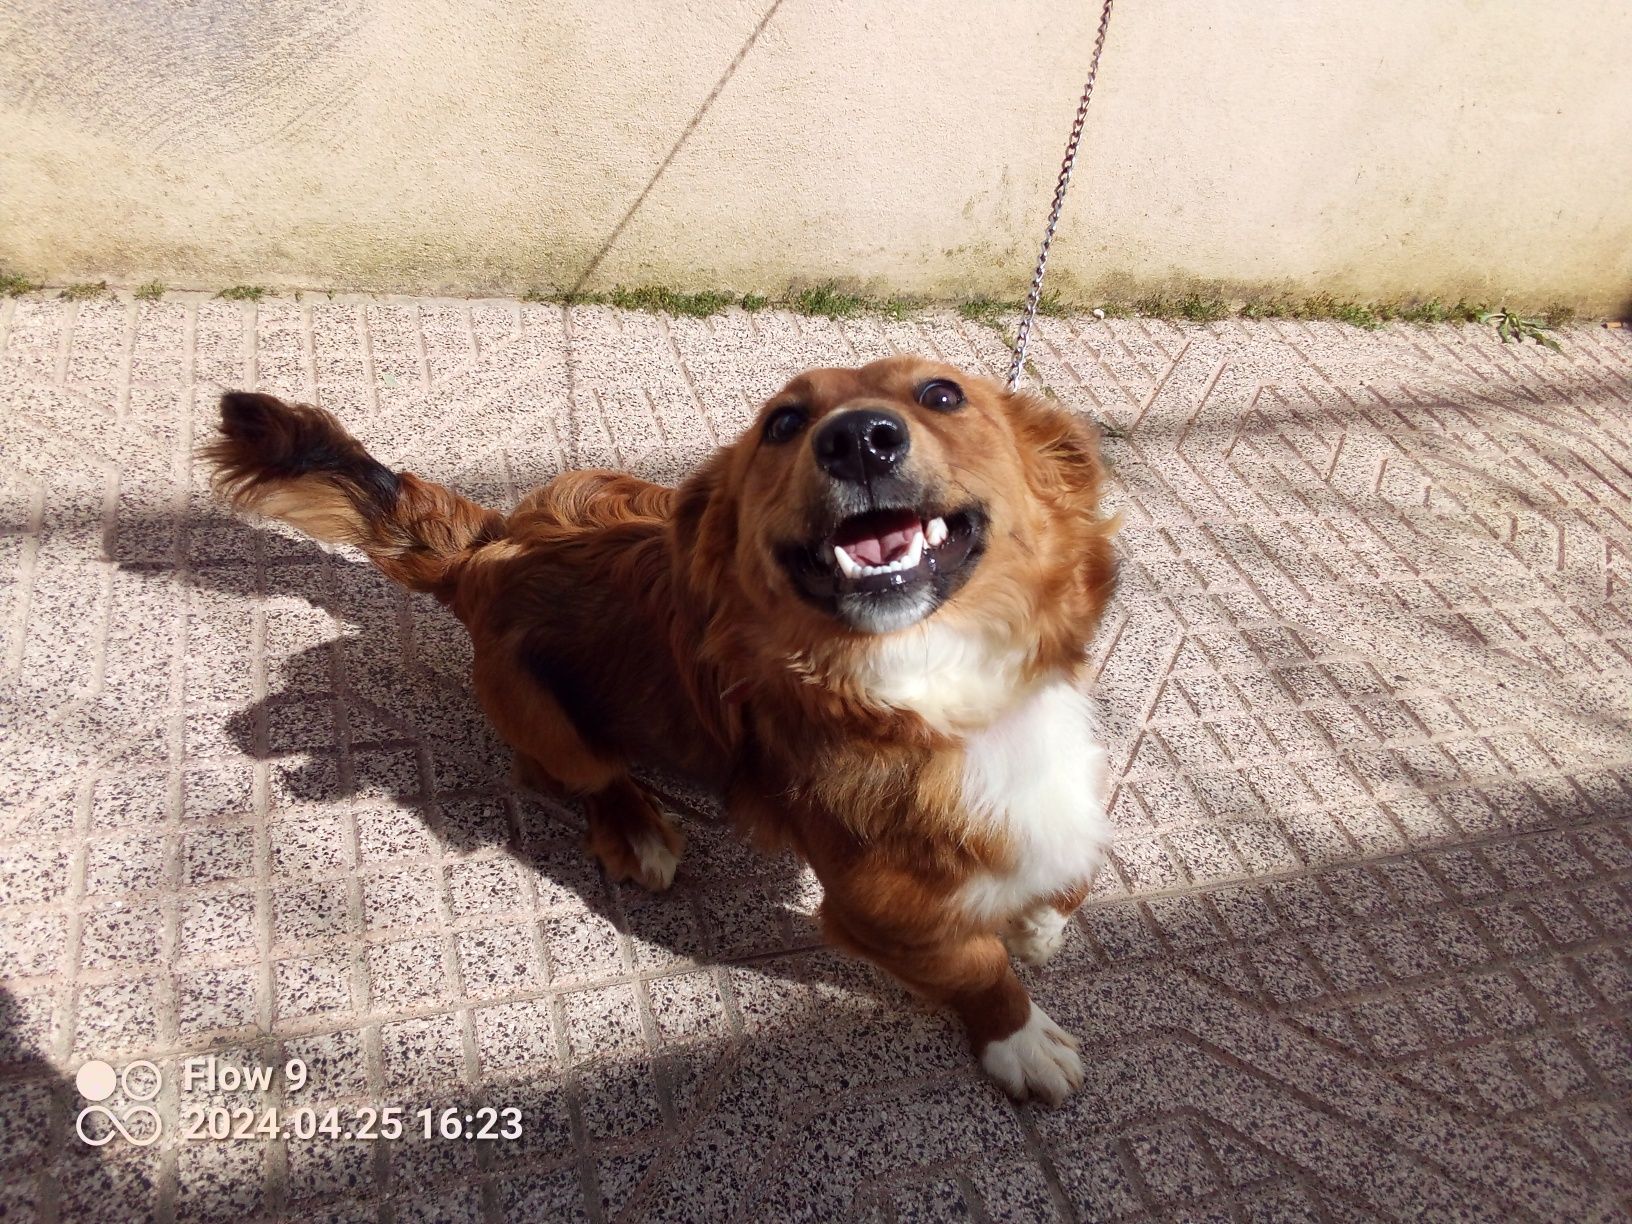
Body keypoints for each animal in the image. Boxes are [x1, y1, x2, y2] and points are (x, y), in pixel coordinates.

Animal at [204, 352, 1116, 1103]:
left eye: (942, 394)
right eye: (783, 423)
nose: (859, 440)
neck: (931, 679)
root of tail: (488, 550)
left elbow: (1067, 872)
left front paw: (1041, 919)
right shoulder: (878, 909)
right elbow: (975, 965)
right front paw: (1020, 1039)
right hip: (542, 713)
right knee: (575, 775)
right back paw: (639, 829)